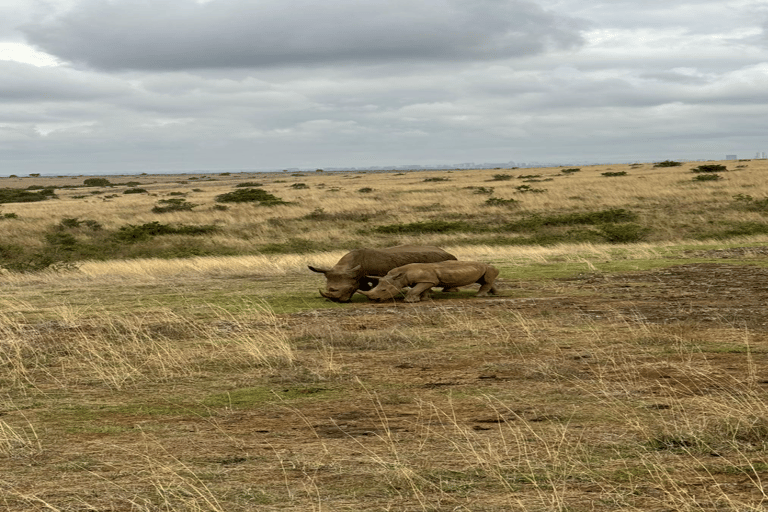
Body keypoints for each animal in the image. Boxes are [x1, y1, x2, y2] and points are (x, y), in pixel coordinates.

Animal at [308, 246, 456, 302]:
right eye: (327, 288)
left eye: (349, 289)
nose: (337, 301)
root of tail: (445, 251)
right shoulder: (358, 276)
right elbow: (365, 287)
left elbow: (373, 286)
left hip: (446, 259)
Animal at [358, 262, 500, 302]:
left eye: (383, 290)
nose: (373, 300)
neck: (400, 276)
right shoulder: (428, 280)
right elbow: (423, 289)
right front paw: (424, 299)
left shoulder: (427, 280)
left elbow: (416, 290)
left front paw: (409, 301)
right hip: (483, 268)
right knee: (484, 280)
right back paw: (494, 294)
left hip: (487, 267)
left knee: (486, 279)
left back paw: (479, 296)